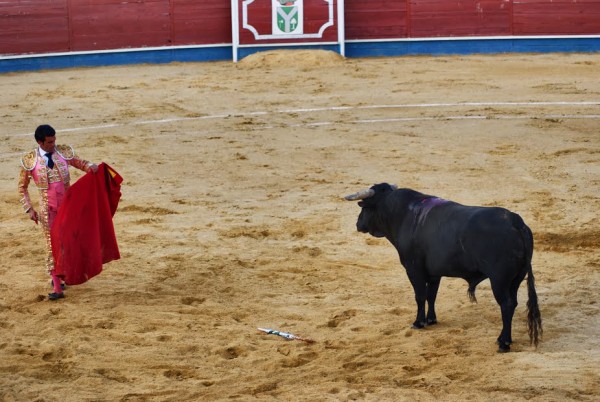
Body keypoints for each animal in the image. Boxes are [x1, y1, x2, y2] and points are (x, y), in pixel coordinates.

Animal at [342, 183, 544, 352]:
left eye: (364, 206)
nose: (358, 224)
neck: (403, 214)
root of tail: (515, 222)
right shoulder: (434, 274)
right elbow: (431, 295)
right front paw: (431, 320)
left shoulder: (413, 269)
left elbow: (420, 296)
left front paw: (418, 322)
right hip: (516, 279)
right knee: (513, 303)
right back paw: (503, 339)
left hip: (499, 280)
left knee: (506, 305)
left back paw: (504, 343)